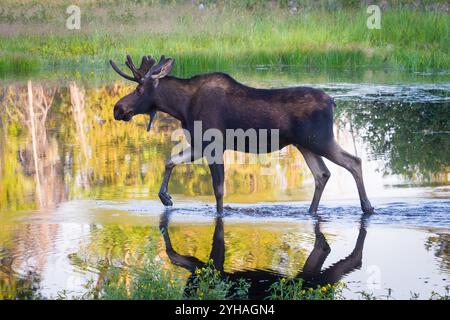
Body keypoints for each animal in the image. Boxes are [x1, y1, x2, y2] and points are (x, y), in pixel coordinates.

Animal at [108, 55, 372, 215]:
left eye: (139, 89)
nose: (118, 109)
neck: (181, 106)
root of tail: (333, 102)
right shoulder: (200, 144)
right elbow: (170, 160)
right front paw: (165, 197)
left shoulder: (213, 144)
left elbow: (219, 189)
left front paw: (220, 213)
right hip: (305, 144)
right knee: (322, 174)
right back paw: (311, 211)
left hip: (320, 139)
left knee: (354, 161)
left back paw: (367, 207)